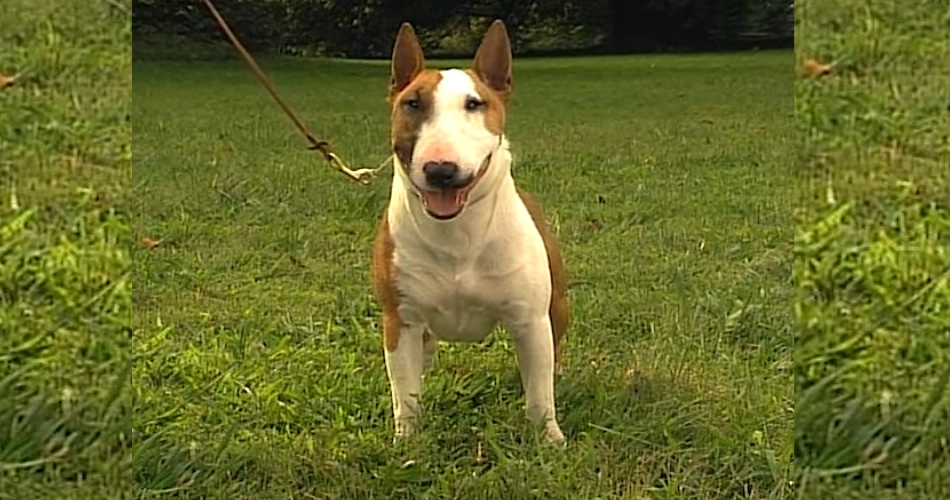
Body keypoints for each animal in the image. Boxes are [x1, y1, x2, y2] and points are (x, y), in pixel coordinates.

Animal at [372, 19, 568, 444]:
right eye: (412, 103)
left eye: (474, 103)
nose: (440, 170)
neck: (457, 233)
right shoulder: (400, 320)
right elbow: (404, 393)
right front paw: (407, 442)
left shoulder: (531, 319)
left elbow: (540, 392)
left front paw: (550, 439)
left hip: (558, 306)